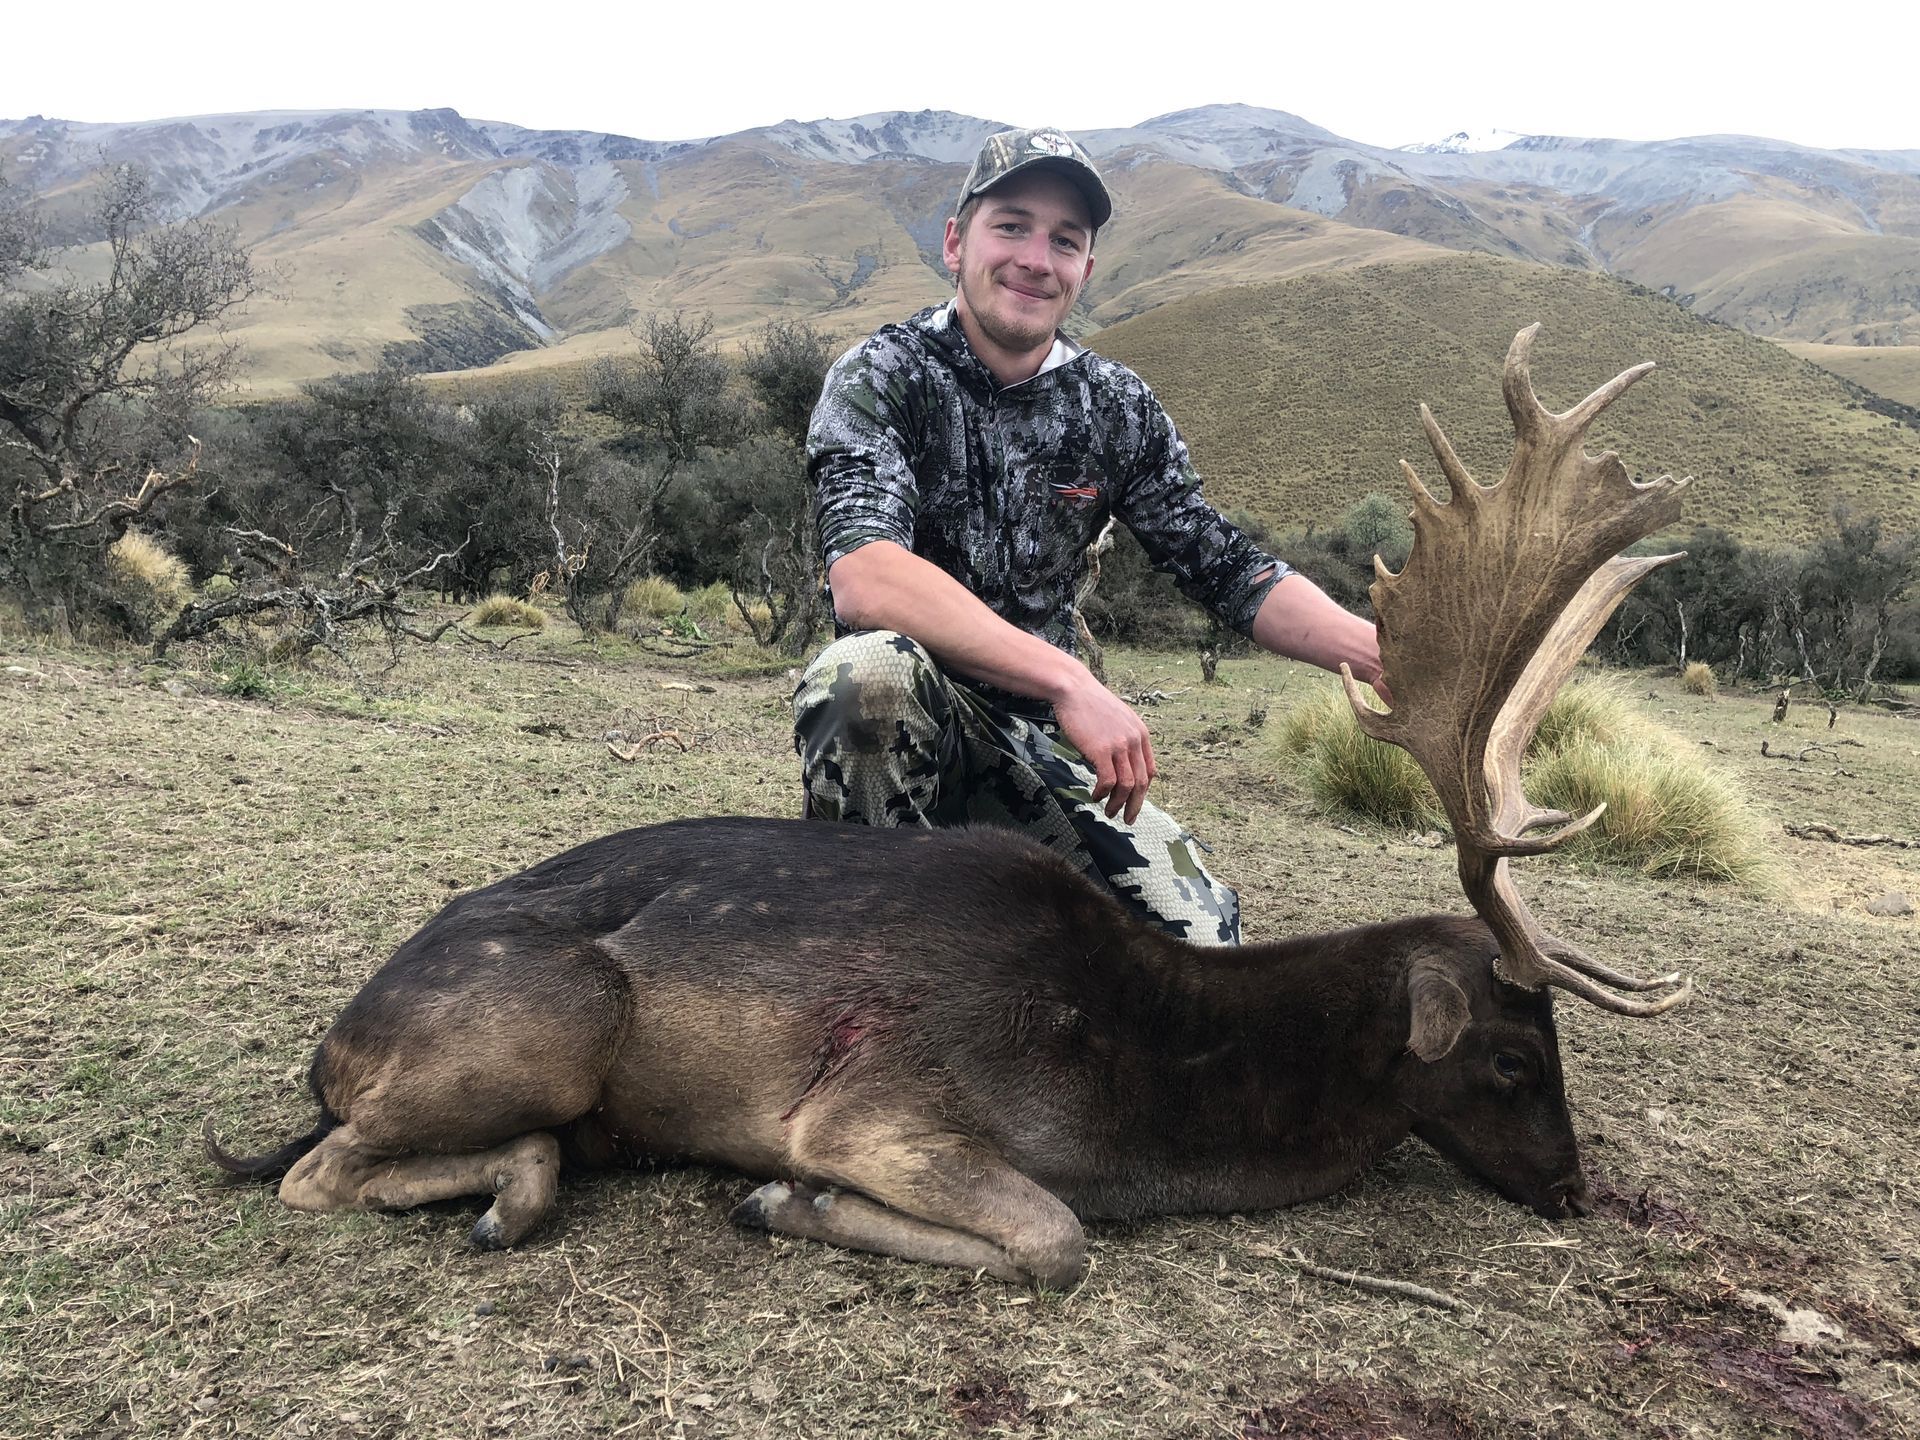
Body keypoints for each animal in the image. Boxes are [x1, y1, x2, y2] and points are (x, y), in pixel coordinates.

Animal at [208, 328, 1693, 1288]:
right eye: (1515, 1058)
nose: (1575, 1191)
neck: (1146, 1092)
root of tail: (335, 1043)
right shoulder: (878, 1111)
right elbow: (1056, 1241)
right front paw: (777, 1201)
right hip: (557, 1019)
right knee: (308, 1172)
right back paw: (511, 1196)